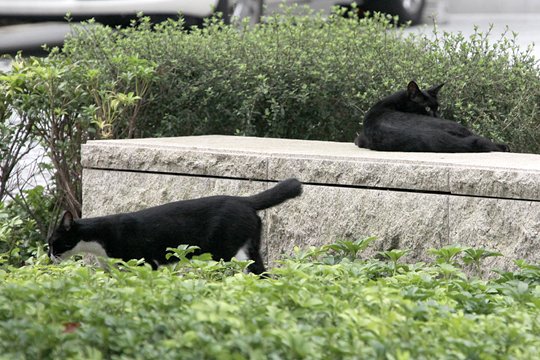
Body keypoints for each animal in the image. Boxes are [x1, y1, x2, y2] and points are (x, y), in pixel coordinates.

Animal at [47, 178, 304, 276]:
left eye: (53, 243)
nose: (49, 256)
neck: (98, 240)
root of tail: (244, 200)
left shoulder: (144, 263)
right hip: (249, 248)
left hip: (227, 252)